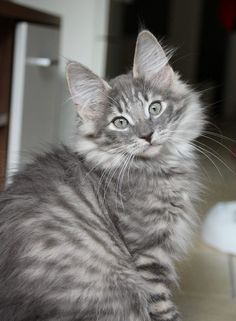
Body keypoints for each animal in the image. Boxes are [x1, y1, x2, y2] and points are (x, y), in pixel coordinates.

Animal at [0, 30, 204, 320]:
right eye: (120, 122)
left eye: (154, 108)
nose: (147, 135)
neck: (156, 168)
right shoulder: (148, 252)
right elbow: (163, 306)